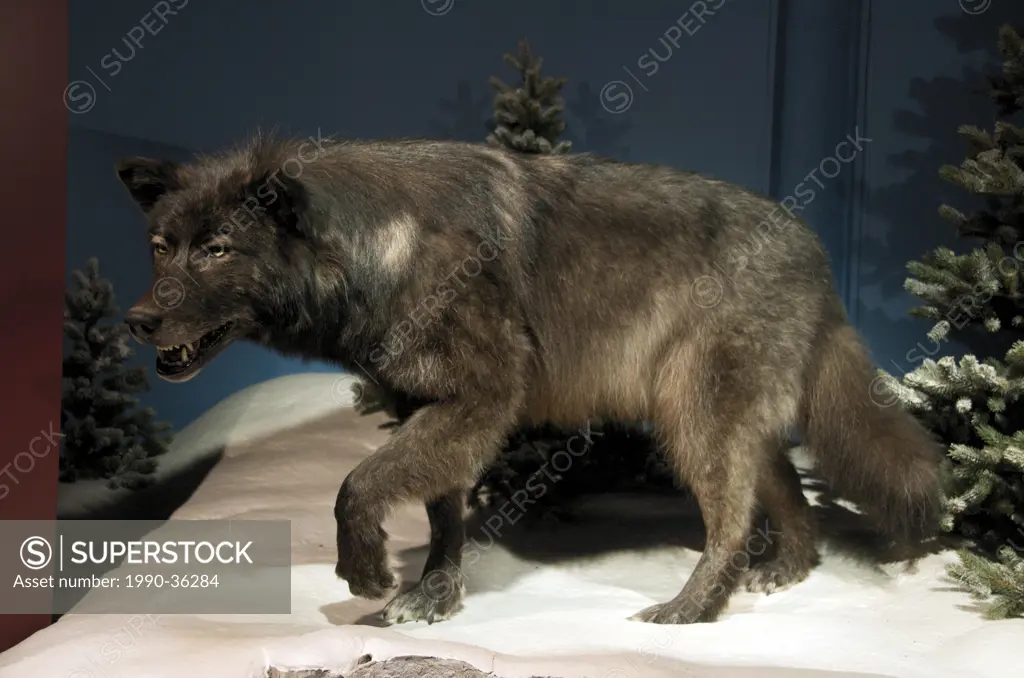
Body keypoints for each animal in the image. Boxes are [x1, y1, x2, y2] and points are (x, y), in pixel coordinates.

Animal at [117, 133, 942, 626]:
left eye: (217, 249)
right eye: (160, 245)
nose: (135, 320)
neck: (377, 250)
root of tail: (815, 250)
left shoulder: (479, 401)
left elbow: (358, 484)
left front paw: (367, 571)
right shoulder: (435, 408)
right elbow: (443, 516)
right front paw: (434, 596)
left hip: (695, 424)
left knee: (734, 520)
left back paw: (689, 611)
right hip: (722, 422)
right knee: (789, 494)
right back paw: (786, 571)